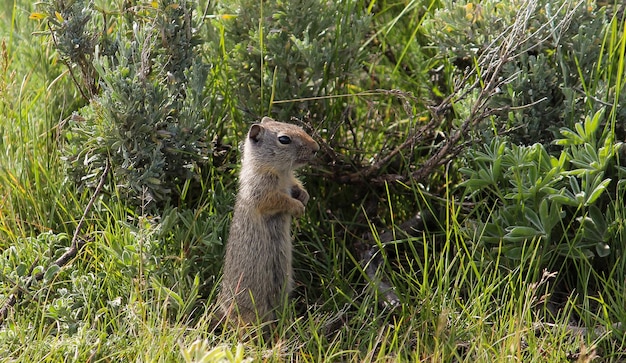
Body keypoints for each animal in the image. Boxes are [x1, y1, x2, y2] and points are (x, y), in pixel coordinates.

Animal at [217, 118, 320, 326]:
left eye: (298, 127)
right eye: (284, 139)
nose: (316, 148)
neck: (282, 172)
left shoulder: (290, 180)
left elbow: (296, 186)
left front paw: (304, 196)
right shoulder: (262, 192)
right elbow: (278, 200)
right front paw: (298, 207)